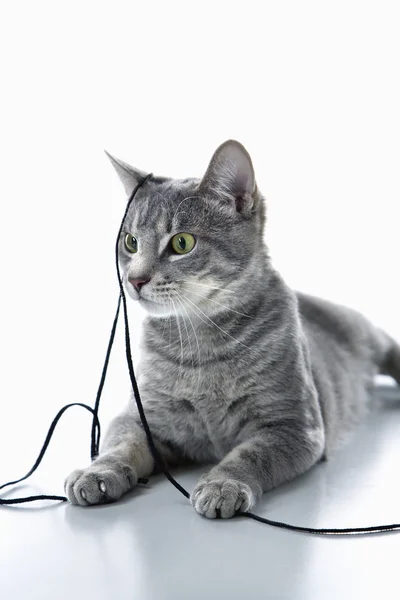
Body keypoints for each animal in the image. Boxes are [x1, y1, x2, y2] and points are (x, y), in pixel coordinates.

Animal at [64, 139, 398, 516]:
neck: (200, 342)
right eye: (130, 242)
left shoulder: (294, 425)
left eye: (181, 243)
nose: (134, 279)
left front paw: (223, 483)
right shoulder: (142, 417)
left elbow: (250, 455)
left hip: (366, 333)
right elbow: (121, 444)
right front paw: (96, 471)